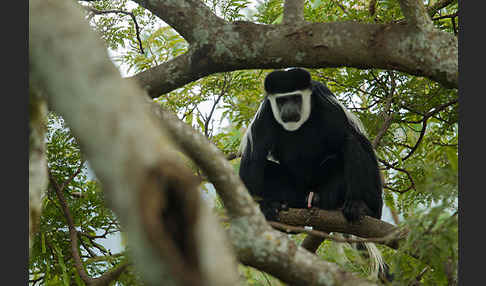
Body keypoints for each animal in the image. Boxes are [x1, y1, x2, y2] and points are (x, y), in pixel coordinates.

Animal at [239, 68, 384, 222]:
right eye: (281, 100)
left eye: (296, 98)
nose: (289, 110)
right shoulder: (265, 113)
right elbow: (253, 159)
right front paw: (265, 206)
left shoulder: (326, 104)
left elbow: (348, 139)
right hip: (294, 189)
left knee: (351, 143)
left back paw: (359, 206)